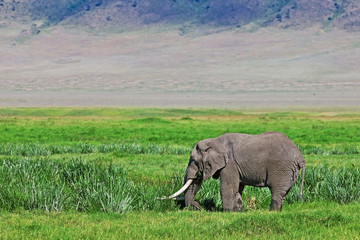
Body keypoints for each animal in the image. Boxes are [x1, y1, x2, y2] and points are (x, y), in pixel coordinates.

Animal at [162, 131, 306, 212]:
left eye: (194, 161)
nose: (197, 207)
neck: (215, 141)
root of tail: (300, 156)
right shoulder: (236, 166)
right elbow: (238, 188)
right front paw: (237, 212)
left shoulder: (229, 164)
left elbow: (228, 187)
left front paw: (226, 212)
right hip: (289, 170)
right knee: (283, 192)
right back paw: (278, 211)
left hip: (281, 168)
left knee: (277, 191)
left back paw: (272, 212)